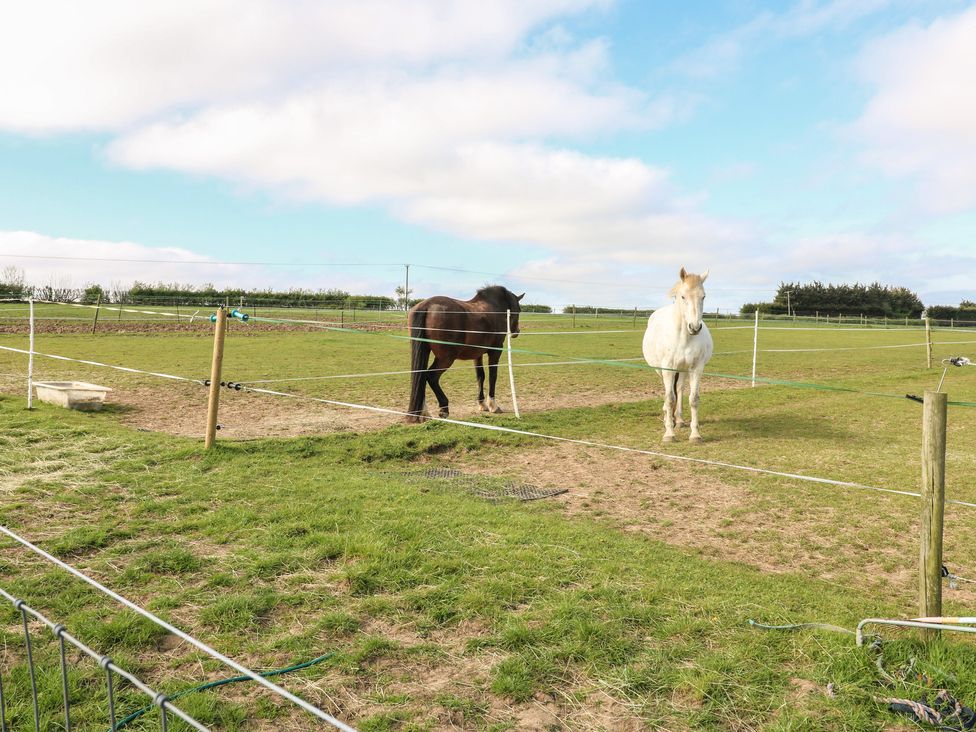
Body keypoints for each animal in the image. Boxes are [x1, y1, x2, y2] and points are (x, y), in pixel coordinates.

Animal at [407, 286, 524, 422]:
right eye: (519, 310)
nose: (517, 331)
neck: (493, 308)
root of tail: (426, 306)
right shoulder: (495, 351)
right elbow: (492, 375)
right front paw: (493, 405)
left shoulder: (477, 354)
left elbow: (480, 376)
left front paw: (482, 404)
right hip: (446, 359)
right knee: (431, 377)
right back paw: (443, 409)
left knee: (421, 377)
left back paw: (424, 412)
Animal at [642, 267, 714, 443]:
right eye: (683, 296)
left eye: (703, 296)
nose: (695, 327)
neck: (684, 337)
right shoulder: (667, 368)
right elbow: (670, 398)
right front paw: (669, 433)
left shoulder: (696, 369)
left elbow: (693, 399)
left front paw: (695, 435)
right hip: (661, 370)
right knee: (668, 391)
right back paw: (667, 417)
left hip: (682, 370)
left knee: (680, 389)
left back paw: (679, 419)